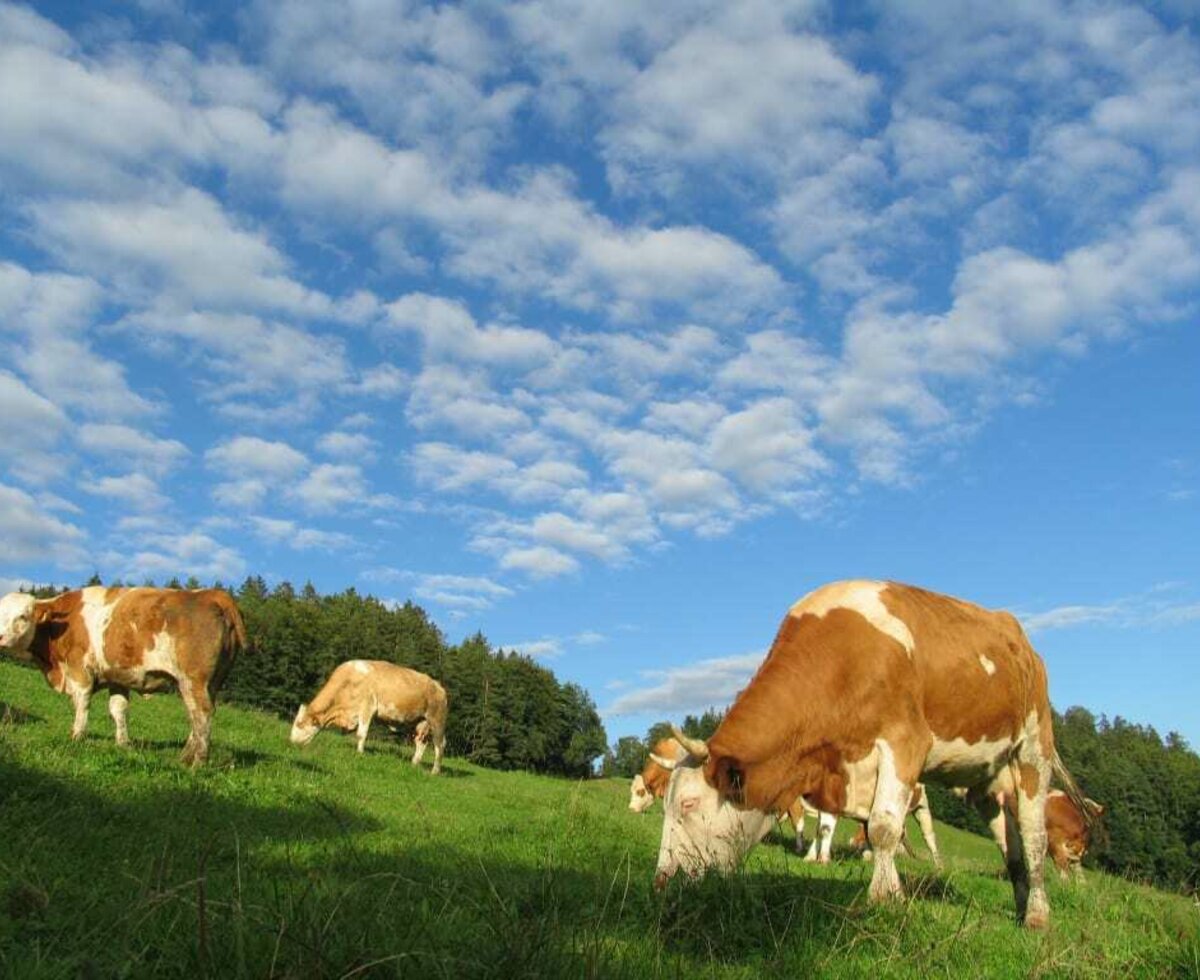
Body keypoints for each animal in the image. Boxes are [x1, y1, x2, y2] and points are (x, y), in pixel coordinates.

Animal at [0, 585, 244, 767]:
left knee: (202, 712)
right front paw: (123, 744)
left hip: (193, 679)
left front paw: (77, 736)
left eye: (23, 616)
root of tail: (214, 594)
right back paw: (184, 757)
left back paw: (198, 762)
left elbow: (82, 705)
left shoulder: (80, 671)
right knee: (196, 714)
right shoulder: (118, 677)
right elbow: (118, 710)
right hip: (209, 683)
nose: (1, 637)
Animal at [291, 657, 451, 772]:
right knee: (421, 743)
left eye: (300, 724)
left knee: (439, 745)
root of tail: (439, 686)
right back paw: (414, 764)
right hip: (420, 722)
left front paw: (359, 754)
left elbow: (361, 734)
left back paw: (435, 771)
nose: (291, 742)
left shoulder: (367, 707)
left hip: (437, 720)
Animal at [652, 578, 1094, 930]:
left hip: (1034, 746)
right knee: (1010, 844)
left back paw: (1037, 915)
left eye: (689, 804)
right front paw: (894, 894)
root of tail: (1018, 637)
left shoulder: (905, 741)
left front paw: (882, 900)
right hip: (984, 775)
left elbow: (882, 828)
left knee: (1034, 836)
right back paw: (1020, 906)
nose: (662, 882)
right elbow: (870, 830)